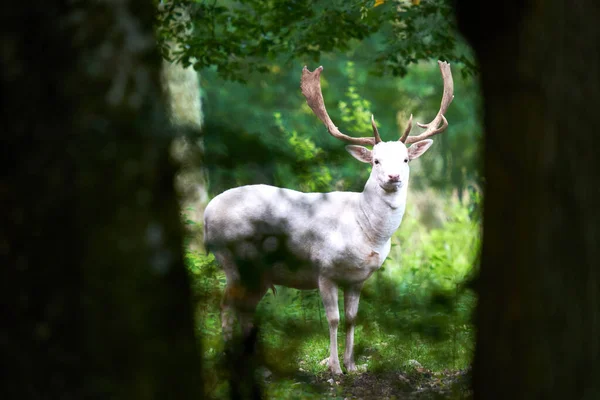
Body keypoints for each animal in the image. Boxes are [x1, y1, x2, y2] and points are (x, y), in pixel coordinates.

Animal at [204, 60, 452, 376]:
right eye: (376, 161)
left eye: (405, 159)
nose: (393, 177)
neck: (366, 231)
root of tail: (206, 213)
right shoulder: (324, 269)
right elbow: (332, 319)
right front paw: (334, 368)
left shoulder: (358, 278)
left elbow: (352, 319)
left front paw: (353, 365)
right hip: (232, 258)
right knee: (226, 305)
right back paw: (230, 360)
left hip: (258, 272)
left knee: (245, 308)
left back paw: (260, 368)